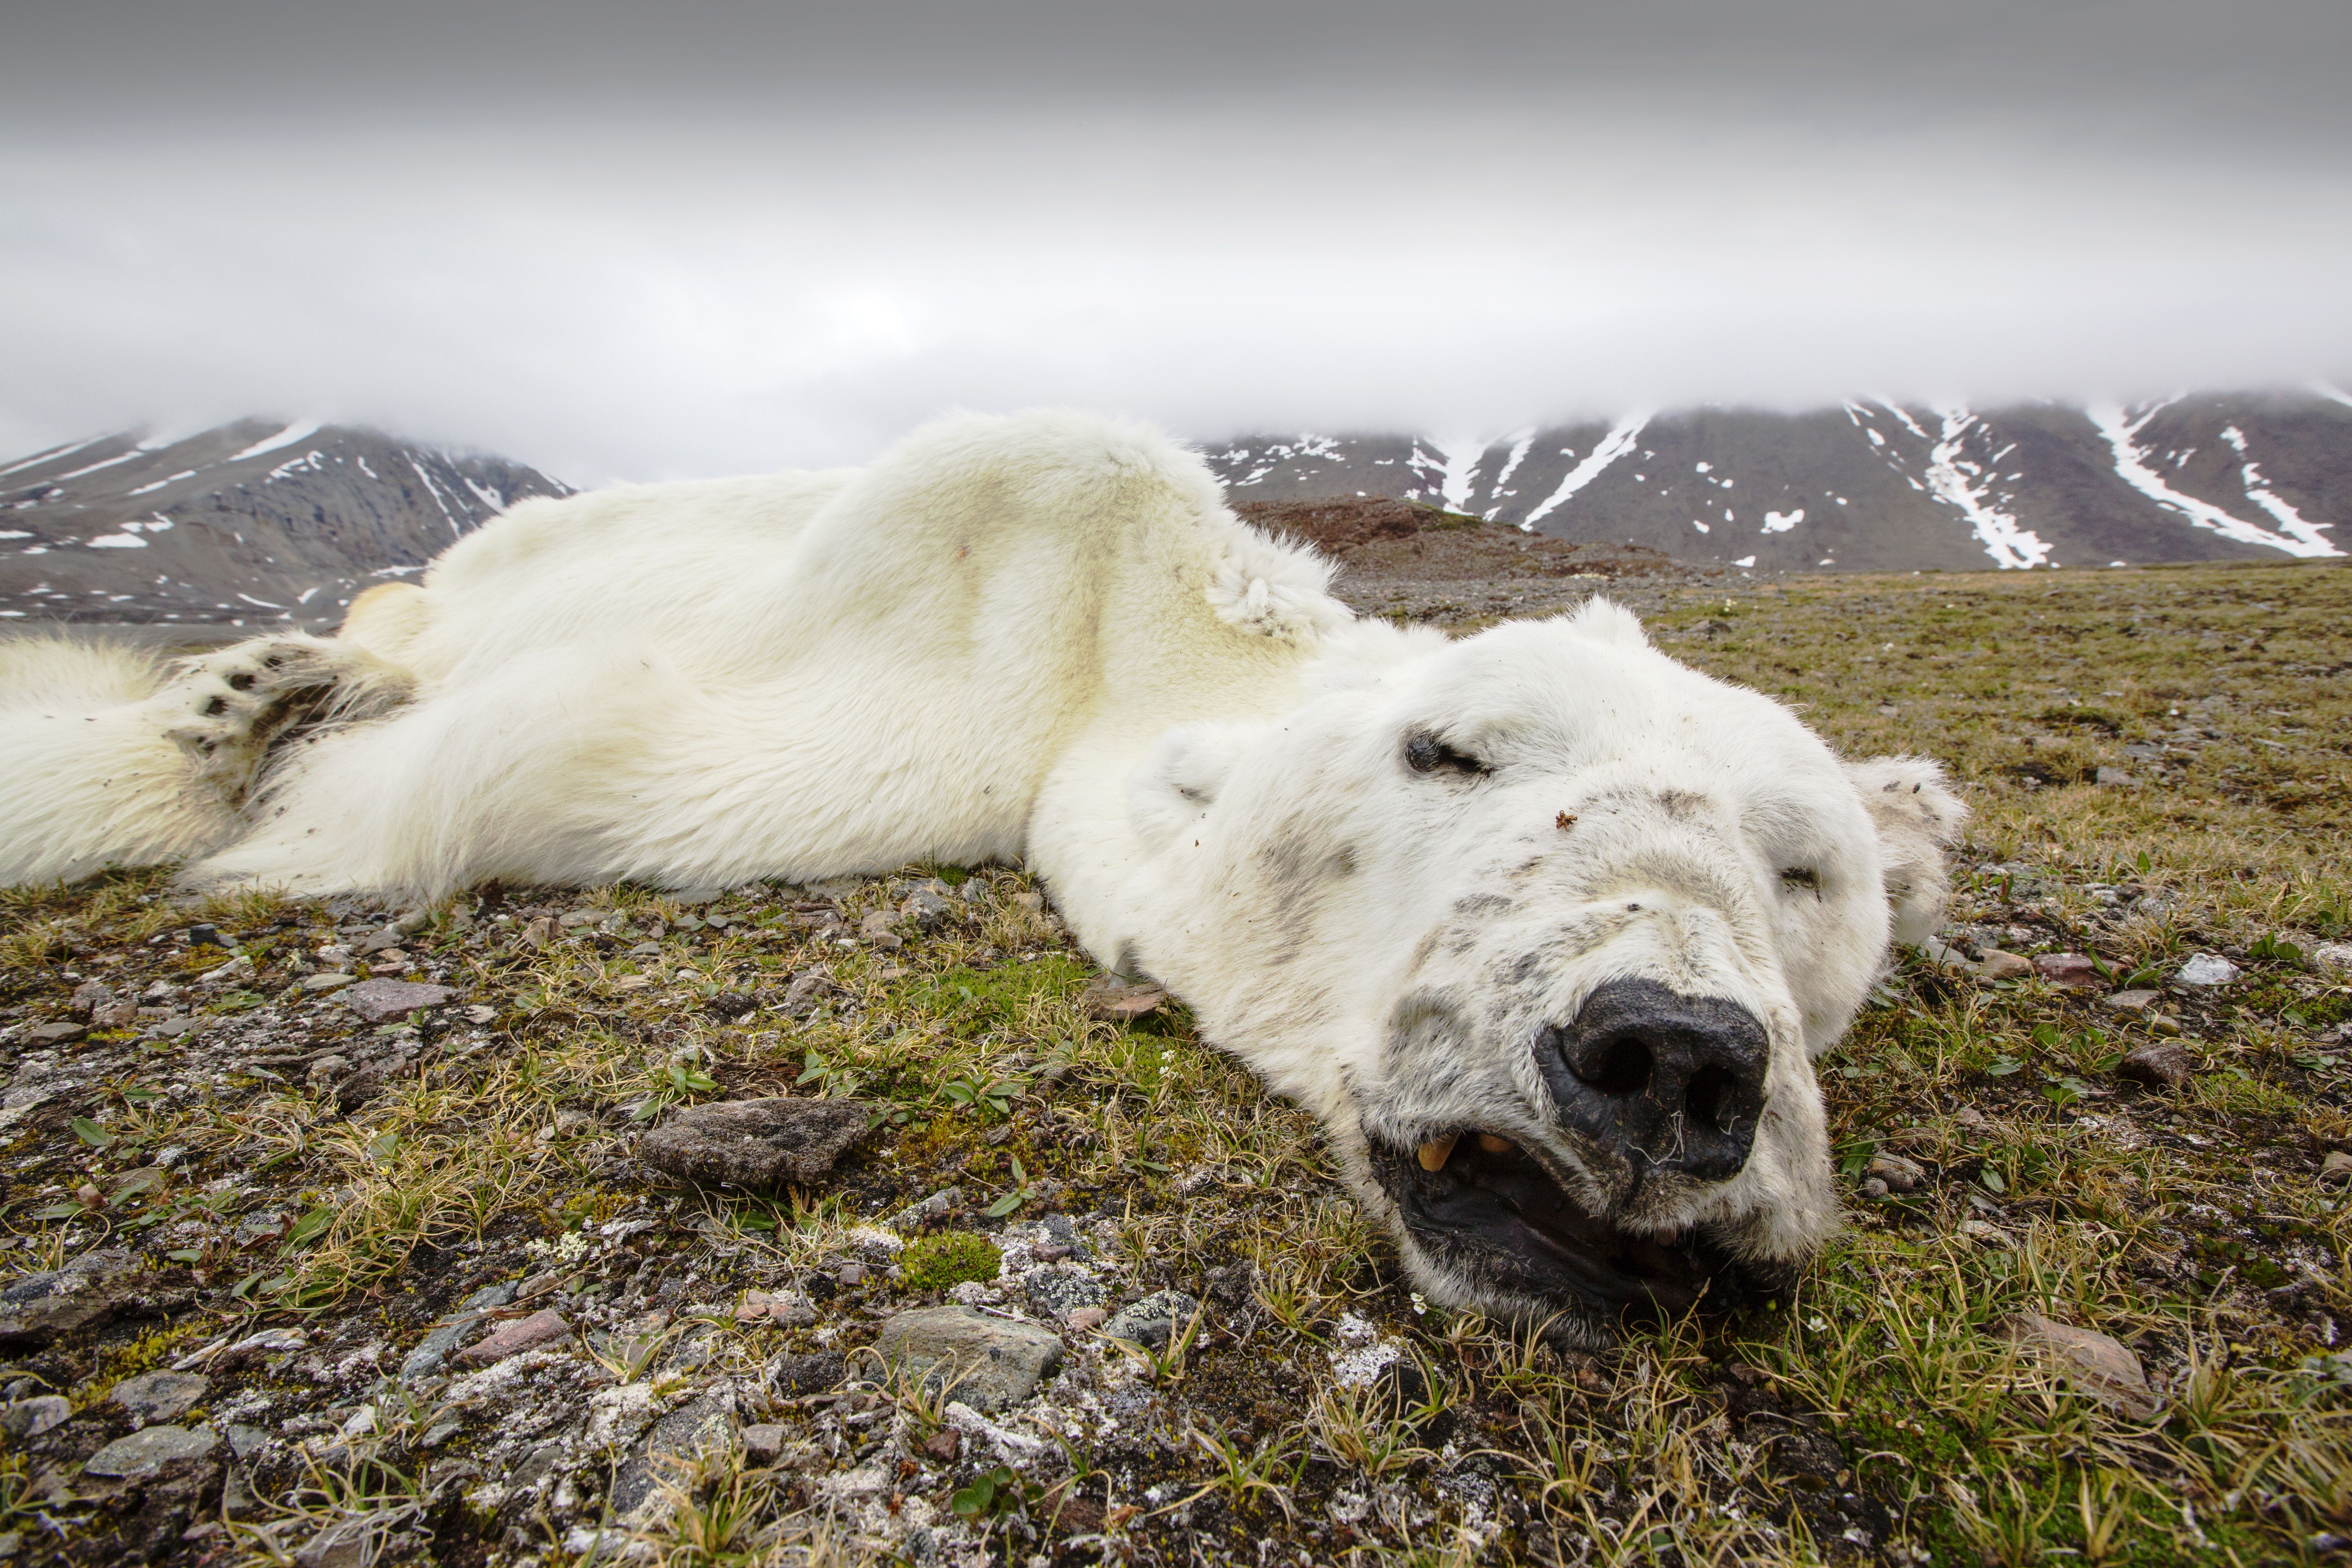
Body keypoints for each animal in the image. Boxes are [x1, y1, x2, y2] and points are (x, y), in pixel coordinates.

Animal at [0, 411, 1966, 1345]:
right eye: (1451, 752)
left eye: (1806, 868)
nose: (1670, 1055)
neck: (1134, 643)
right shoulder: (952, 614)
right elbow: (524, 758)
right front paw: (234, 739)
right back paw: (274, 676)